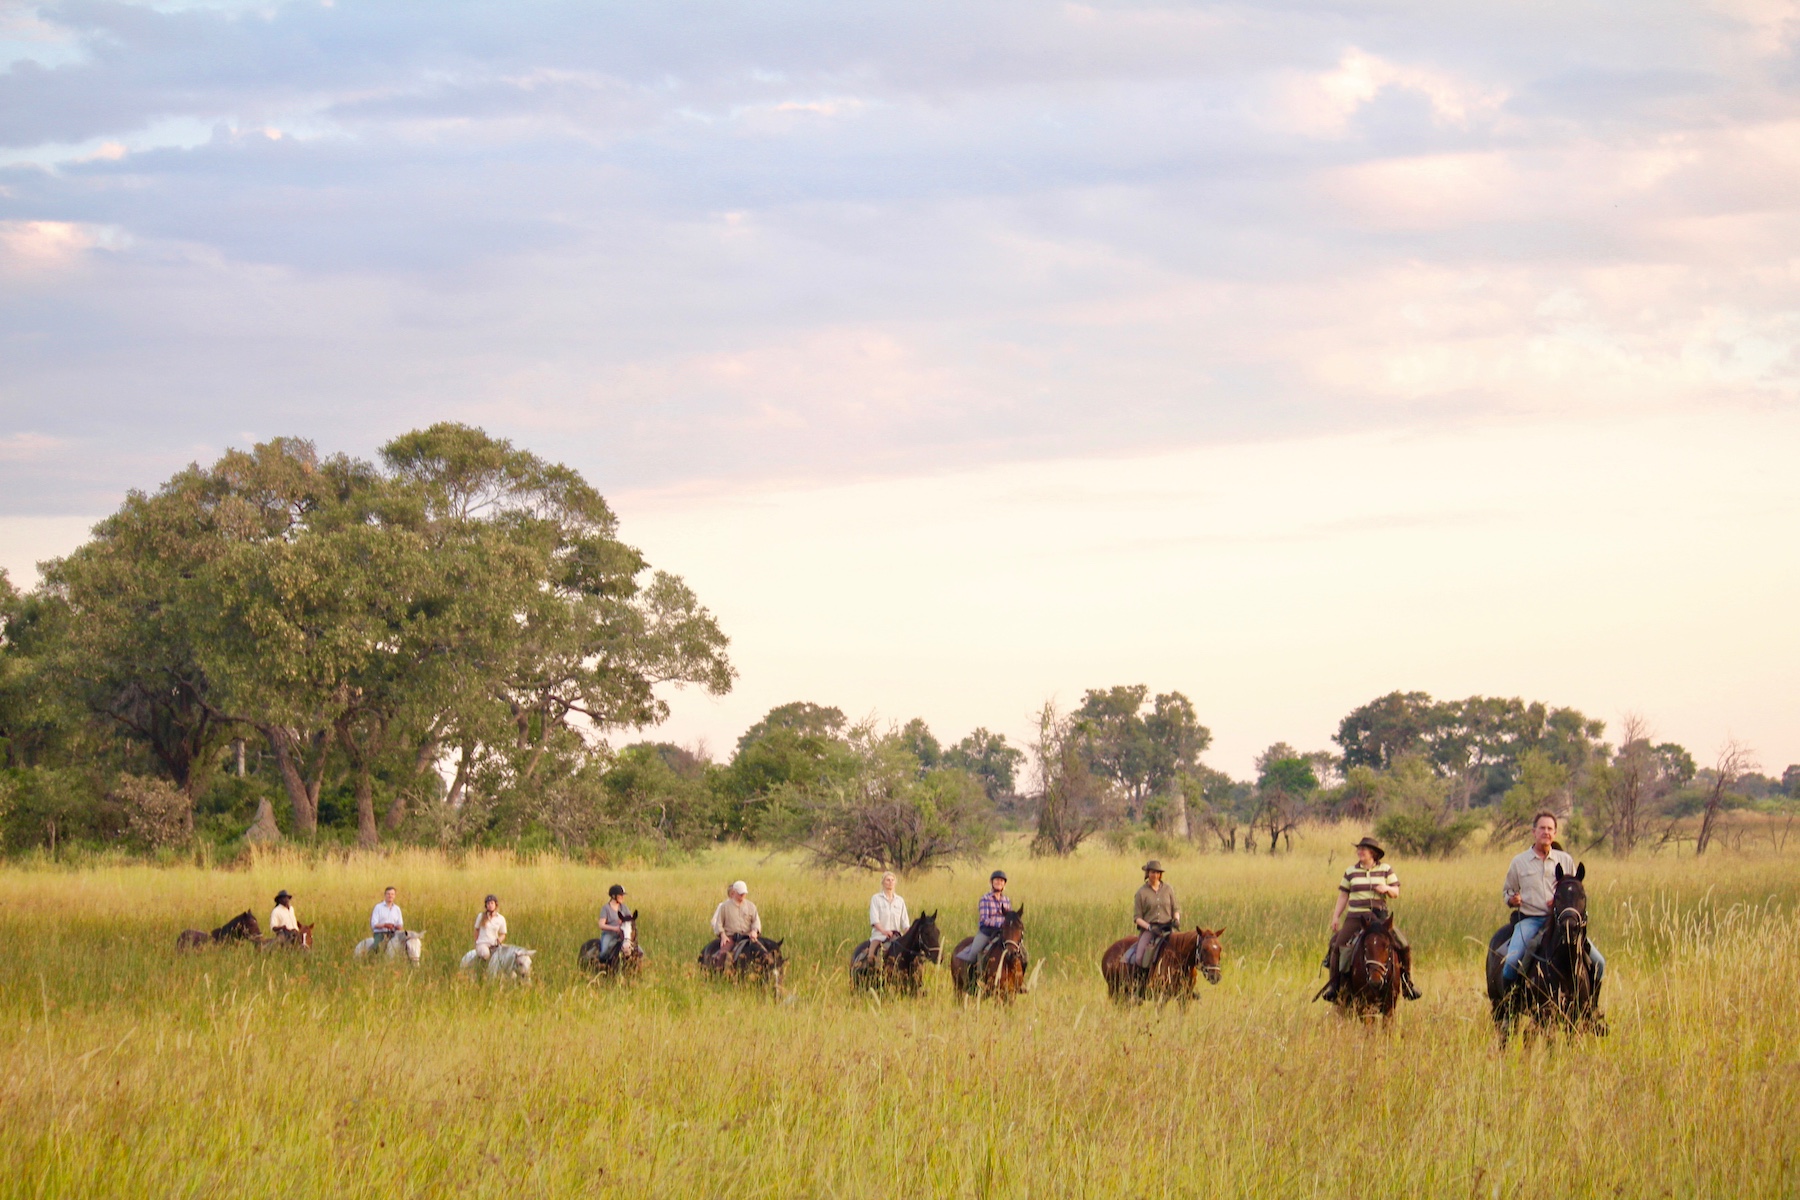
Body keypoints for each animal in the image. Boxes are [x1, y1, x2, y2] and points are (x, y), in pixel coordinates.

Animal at [1094, 928, 1224, 1007]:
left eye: (1220, 948)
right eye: (1204, 949)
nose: (1215, 976)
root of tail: (1108, 953)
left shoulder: (1184, 999)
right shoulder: (1162, 997)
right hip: (1116, 991)